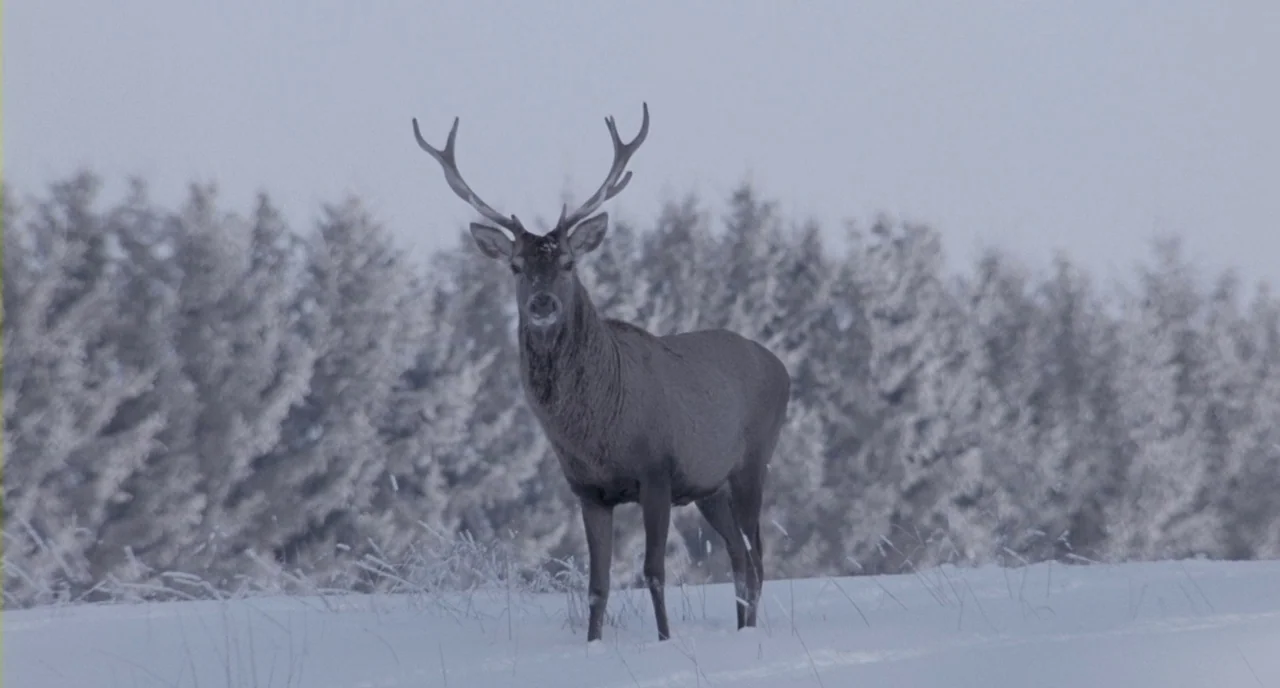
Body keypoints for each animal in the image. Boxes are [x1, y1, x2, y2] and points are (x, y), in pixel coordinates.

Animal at [410, 103, 792, 643]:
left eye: (569, 262)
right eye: (515, 265)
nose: (542, 303)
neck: (598, 430)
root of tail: (780, 366)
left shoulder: (657, 471)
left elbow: (654, 571)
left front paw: (664, 641)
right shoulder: (588, 491)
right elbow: (597, 584)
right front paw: (592, 644)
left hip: (753, 461)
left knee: (757, 559)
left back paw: (750, 632)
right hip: (709, 485)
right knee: (739, 555)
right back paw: (741, 630)